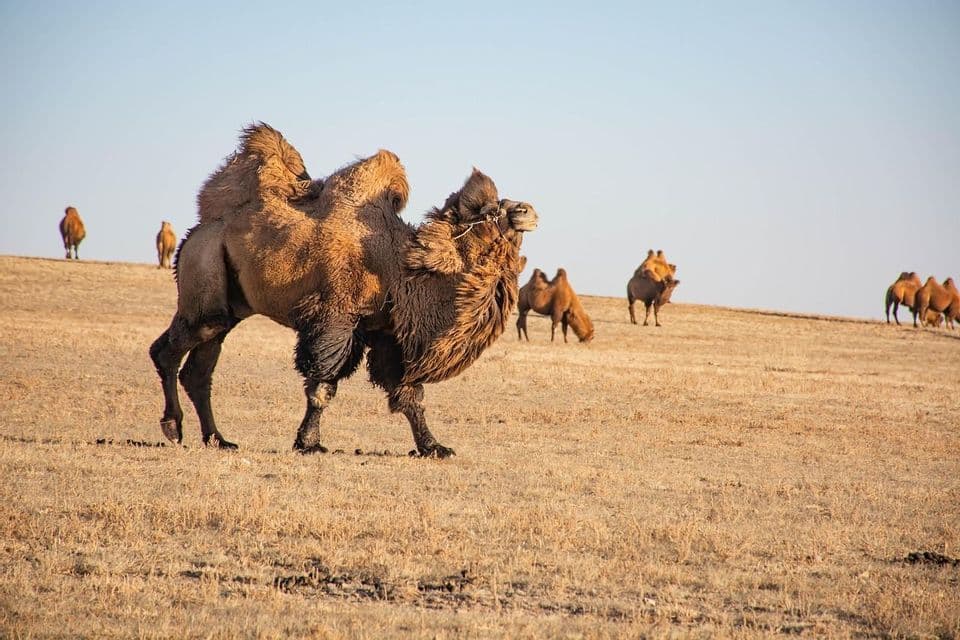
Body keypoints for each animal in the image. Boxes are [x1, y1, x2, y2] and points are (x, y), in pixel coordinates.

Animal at [149, 123, 538, 457]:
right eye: (490, 210)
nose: (528, 210)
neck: (400, 268)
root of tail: (198, 230)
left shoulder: (387, 332)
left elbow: (409, 394)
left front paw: (433, 447)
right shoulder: (336, 318)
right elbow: (323, 385)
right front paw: (309, 443)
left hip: (231, 307)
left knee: (199, 369)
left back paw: (218, 438)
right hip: (206, 283)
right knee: (171, 349)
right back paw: (173, 426)